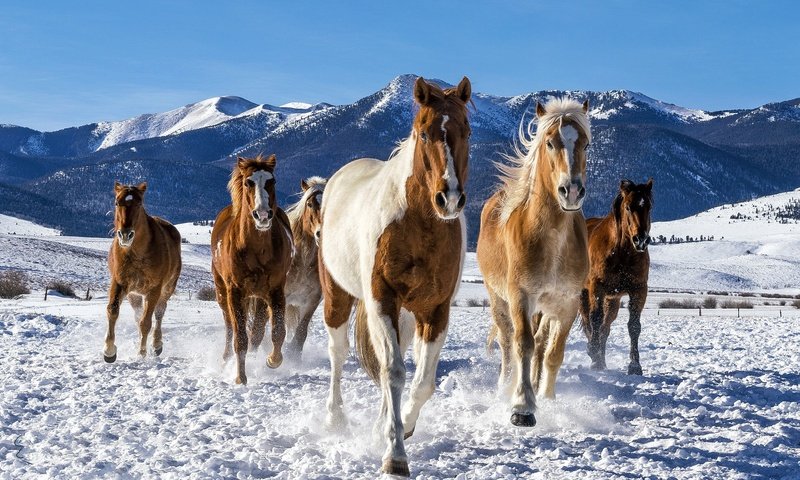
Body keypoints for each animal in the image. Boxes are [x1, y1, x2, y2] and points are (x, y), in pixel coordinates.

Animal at [103, 182, 181, 362]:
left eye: (139, 203)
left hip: (166, 289)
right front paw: (109, 351)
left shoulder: (154, 290)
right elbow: (113, 310)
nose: (125, 235)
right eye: (117, 203)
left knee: (159, 313)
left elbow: (146, 323)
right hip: (134, 295)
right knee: (138, 315)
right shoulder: (119, 283)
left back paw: (156, 345)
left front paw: (142, 353)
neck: (136, 252)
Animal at [209, 156, 294, 384]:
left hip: (260, 297)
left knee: (257, 331)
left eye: (272, 181)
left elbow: (277, 331)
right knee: (229, 327)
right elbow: (240, 337)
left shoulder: (276, 290)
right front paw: (240, 377)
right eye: (249, 182)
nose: (262, 215)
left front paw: (272, 360)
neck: (257, 249)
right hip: (223, 293)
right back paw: (225, 359)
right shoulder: (235, 292)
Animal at [318, 76, 472, 476]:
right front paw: (395, 454)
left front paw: (403, 426)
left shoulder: (435, 310)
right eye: (423, 132)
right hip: (338, 296)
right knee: (338, 353)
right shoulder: (382, 300)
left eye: (466, 130)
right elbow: (393, 372)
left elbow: (422, 382)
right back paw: (334, 419)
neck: (418, 224)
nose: (449, 198)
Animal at [478, 98, 592, 428]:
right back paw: (504, 386)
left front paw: (547, 397)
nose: (572, 191)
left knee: (540, 343)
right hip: (498, 299)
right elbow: (523, 345)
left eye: (586, 144)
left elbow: (553, 351)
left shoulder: (567, 303)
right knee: (507, 343)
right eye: (550, 142)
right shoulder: (521, 297)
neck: (552, 242)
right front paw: (522, 406)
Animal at [580, 180, 656, 376]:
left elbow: (634, 326)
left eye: (649, 206)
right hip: (583, 294)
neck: (622, 252)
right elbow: (595, 319)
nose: (641, 240)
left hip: (612, 300)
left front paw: (635, 366)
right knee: (589, 322)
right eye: (628, 207)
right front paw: (594, 357)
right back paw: (593, 353)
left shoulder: (639, 290)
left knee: (605, 328)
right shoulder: (596, 288)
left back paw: (602, 360)